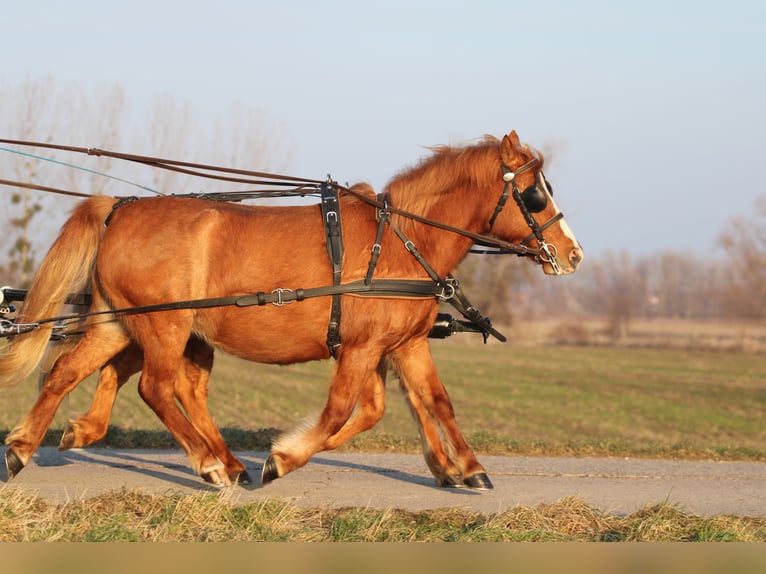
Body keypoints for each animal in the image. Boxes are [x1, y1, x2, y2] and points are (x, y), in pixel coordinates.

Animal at [0, 130, 584, 490]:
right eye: (534, 194)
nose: (573, 254)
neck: (401, 240)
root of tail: (120, 208)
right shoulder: (361, 349)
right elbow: (344, 410)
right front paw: (281, 459)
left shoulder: (404, 345)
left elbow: (431, 402)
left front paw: (468, 468)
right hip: (164, 326)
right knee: (157, 388)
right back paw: (211, 465)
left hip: (122, 322)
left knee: (68, 371)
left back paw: (26, 446)